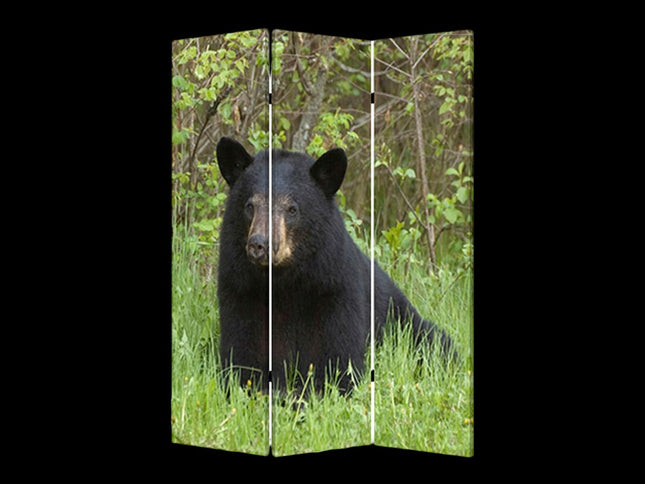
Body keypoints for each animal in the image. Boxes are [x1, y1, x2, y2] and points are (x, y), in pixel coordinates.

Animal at [216, 137, 456, 395]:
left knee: (436, 342)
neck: (284, 281)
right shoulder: (241, 290)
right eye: (250, 206)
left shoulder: (334, 289)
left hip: (405, 322)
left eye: (292, 209)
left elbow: (338, 362)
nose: (259, 244)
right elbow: (243, 358)